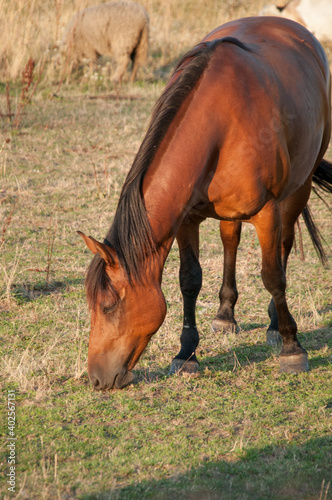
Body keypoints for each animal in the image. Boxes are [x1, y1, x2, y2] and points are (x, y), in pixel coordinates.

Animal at [78, 16, 332, 390]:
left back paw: (274, 324)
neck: (217, 123)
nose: (96, 379)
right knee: (230, 241)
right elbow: (189, 280)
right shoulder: (186, 218)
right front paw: (186, 354)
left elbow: (273, 277)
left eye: (109, 306)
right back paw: (226, 314)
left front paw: (292, 349)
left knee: (283, 246)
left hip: (298, 186)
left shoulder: (267, 212)